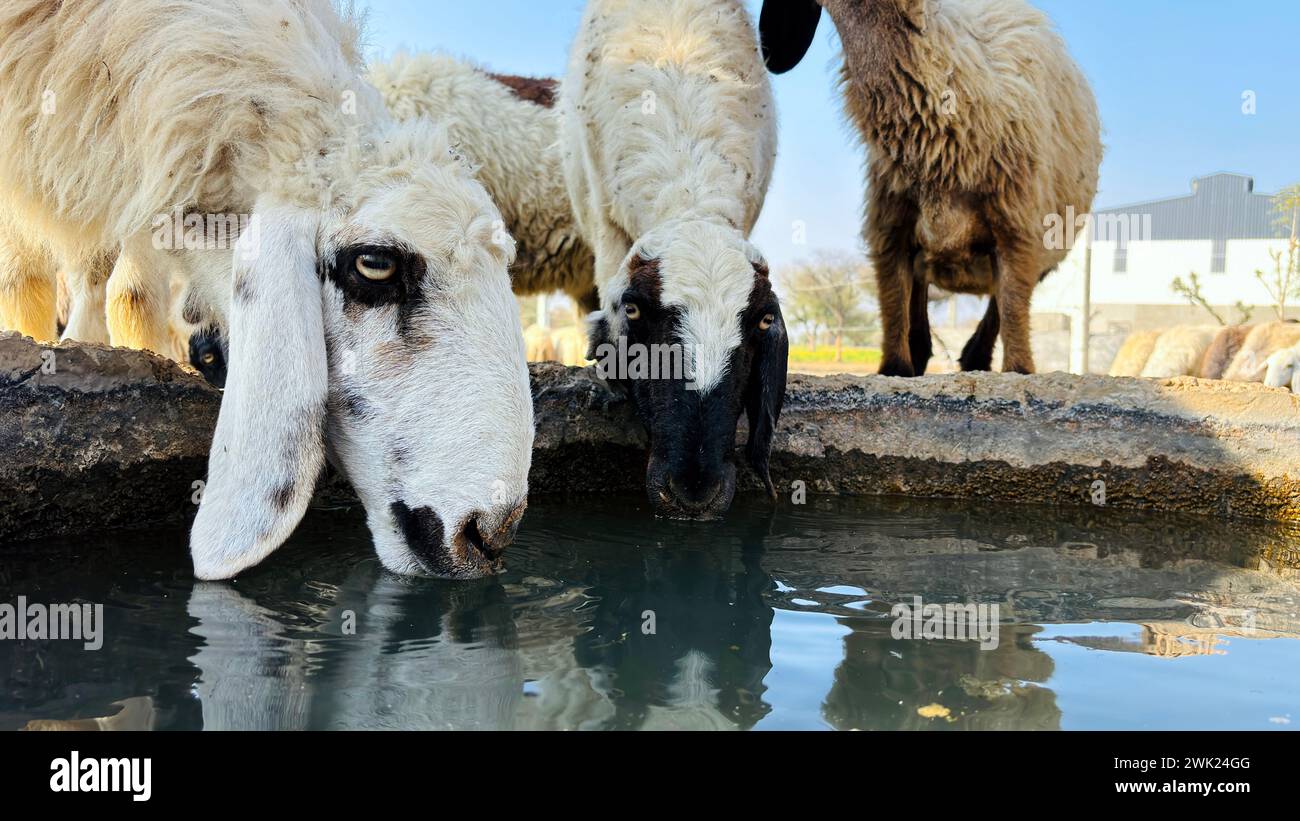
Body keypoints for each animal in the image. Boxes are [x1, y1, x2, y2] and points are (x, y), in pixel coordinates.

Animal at [759, 0, 1102, 374]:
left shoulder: (1019, 228)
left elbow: (1012, 306)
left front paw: (1017, 368)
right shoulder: (889, 226)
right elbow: (894, 304)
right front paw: (897, 366)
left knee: (998, 305)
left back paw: (975, 356)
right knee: (920, 297)